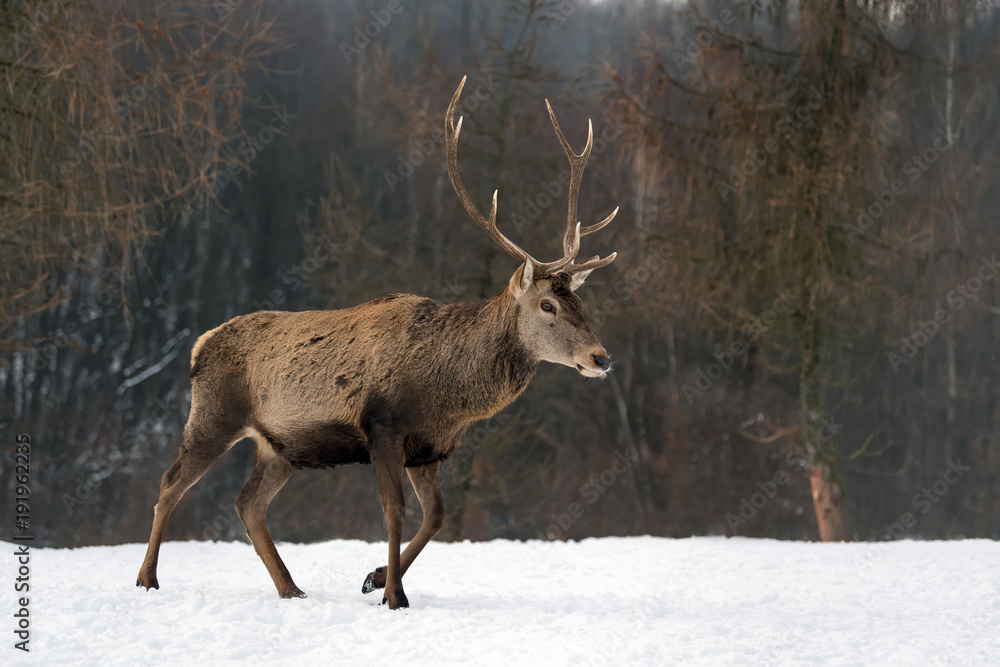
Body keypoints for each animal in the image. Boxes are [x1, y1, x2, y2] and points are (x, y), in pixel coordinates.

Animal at [136, 76, 619, 609]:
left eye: (578, 301)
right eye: (547, 306)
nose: (601, 358)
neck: (446, 395)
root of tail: (199, 345)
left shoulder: (429, 449)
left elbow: (435, 518)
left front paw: (374, 577)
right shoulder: (382, 426)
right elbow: (395, 511)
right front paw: (394, 595)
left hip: (279, 445)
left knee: (247, 503)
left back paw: (292, 588)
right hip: (214, 415)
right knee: (170, 484)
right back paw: (147, 579)